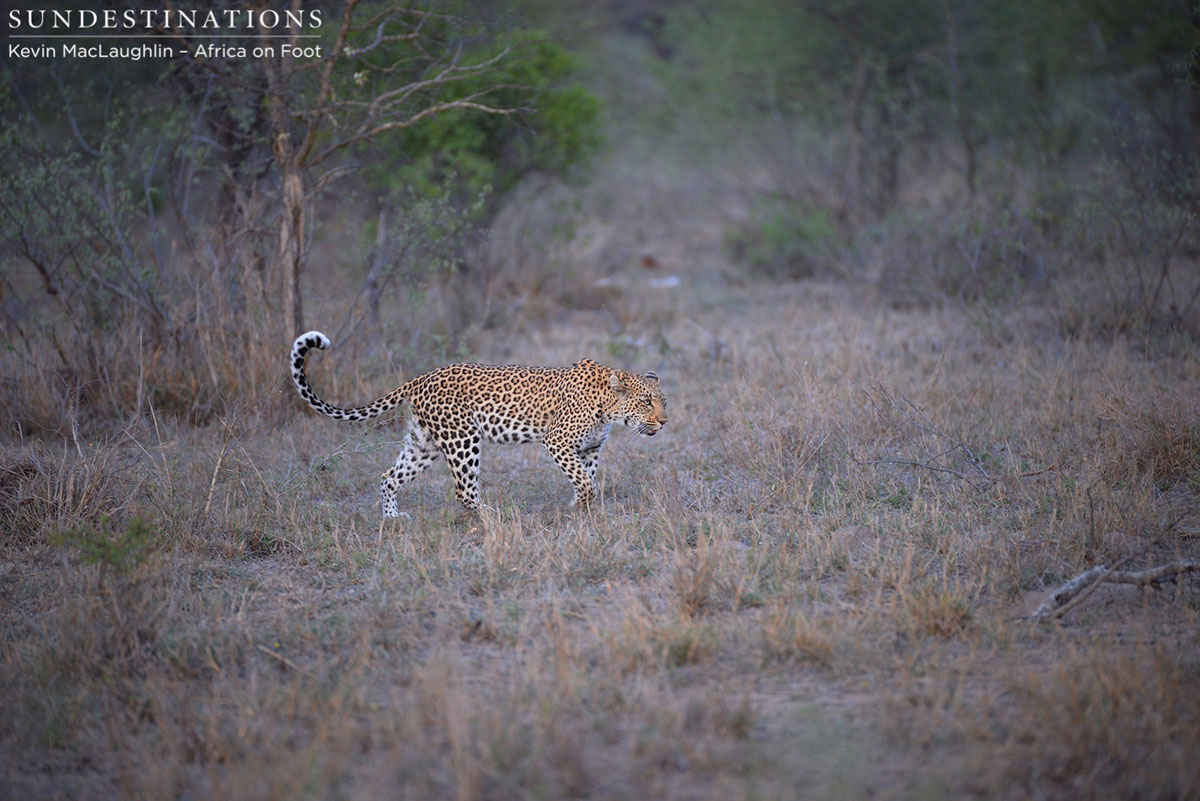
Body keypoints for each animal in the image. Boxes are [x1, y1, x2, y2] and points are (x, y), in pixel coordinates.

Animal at [289, 331, 668, 516]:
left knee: (388, 476)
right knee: (463, 490)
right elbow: (585, 482)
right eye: (646, 401)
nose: (664, 421)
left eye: (664, 400)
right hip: (462, 439)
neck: (608, 407)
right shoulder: (558, 442)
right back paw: (492, 514)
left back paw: (392, 517)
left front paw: (582, 508)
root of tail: (421, 377)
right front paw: (580, 505)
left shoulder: (589, 449)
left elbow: (587, 479)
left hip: (424, 444)